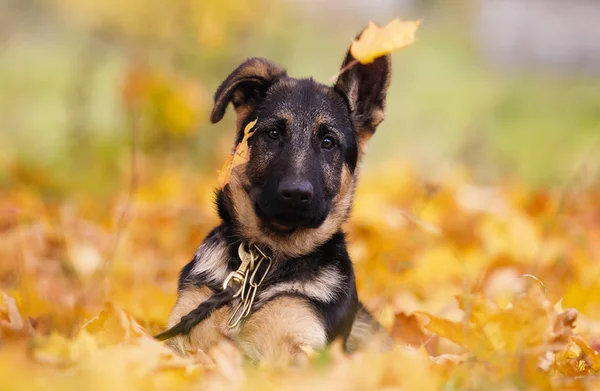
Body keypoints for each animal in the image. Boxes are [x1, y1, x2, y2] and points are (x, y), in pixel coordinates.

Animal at [165, 35, 394, 366]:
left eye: (328, 143)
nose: (296, 194)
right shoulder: (182, 330)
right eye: (273, 133)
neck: (264, 267)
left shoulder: (301, 345)